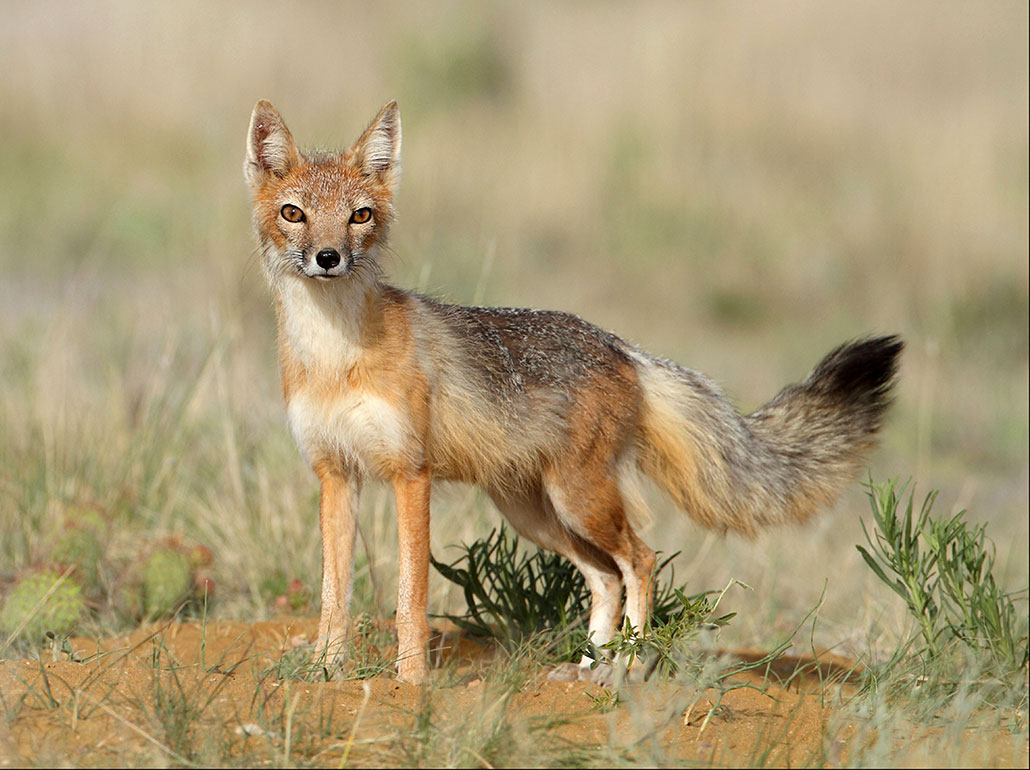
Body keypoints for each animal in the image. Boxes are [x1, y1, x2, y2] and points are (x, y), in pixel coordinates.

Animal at [244, 99, 902, 685]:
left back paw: (625, 668)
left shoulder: (411, 475)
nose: (329, 257)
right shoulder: (336, 474)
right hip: (536, 514)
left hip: (577, 501)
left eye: (358, 216)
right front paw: (326, 672)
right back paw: (588, 668)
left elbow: (410, 598)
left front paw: (410, 683)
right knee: (605, 577)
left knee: (640, 561)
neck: (335, 358)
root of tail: (621, 346)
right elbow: (334, 598)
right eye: (294, 213)